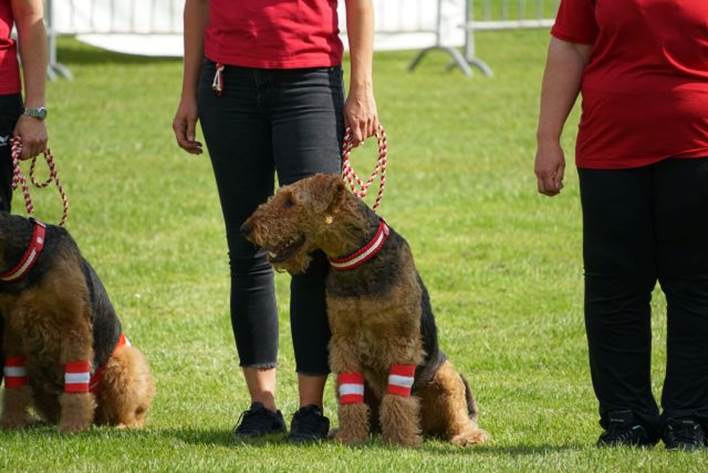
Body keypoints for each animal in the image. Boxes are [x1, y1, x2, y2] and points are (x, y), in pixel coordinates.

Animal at [0, 213, 154, 432]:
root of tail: (99, 419)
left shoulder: (74, 327)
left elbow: (76, 386)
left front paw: (73, 426)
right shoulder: (13, 333)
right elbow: (15, 388)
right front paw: (11, 422)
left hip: (125, 363)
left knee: (131, 416)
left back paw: (121, 426)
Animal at [242, 172, 486, 446]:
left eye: (290, 201)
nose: (245, 229)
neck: (356, 260)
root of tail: (427, 427)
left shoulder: (402, 341)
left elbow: (398, 398)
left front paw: (400, 440)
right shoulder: (344, 342)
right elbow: (352, 400)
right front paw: (350, 437)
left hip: (446, 375)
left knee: (458, 416)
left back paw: (467, 436)